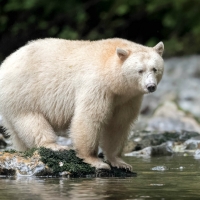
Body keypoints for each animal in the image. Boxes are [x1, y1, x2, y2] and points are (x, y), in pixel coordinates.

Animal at [0, 38, 163, 170]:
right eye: (140, 70)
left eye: (155, 69)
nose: (151, 86)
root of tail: (5, 63)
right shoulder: (97, 85)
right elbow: (89, 117)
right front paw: (96, 161)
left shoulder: (128, 98)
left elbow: (118, 124)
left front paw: (120, 162)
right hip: (24, 92)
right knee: (31, 120)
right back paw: (55, 146)